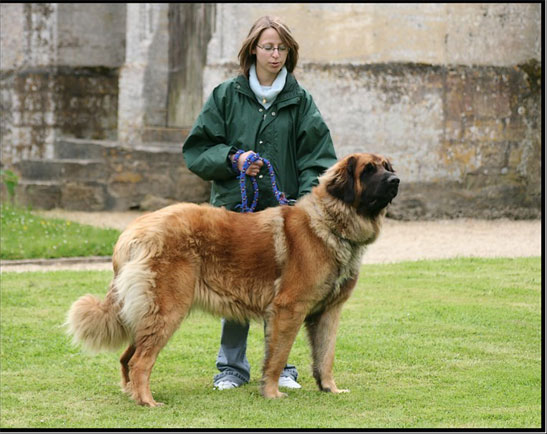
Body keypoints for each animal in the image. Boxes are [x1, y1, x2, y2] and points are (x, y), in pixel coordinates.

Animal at [66, 153, 400, 406]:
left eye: (387, 167)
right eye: (368, 170)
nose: (396, 181)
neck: (330, 224)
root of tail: (132, 231)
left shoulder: (328, 312)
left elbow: (325, 356)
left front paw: (330, 388)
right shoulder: (288, 309)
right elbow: (277, 356)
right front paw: (271, 393)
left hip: (147, 313)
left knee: (127, 357)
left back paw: (132, 395)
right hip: (168, 310)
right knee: (139, 361)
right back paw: (147, 401)